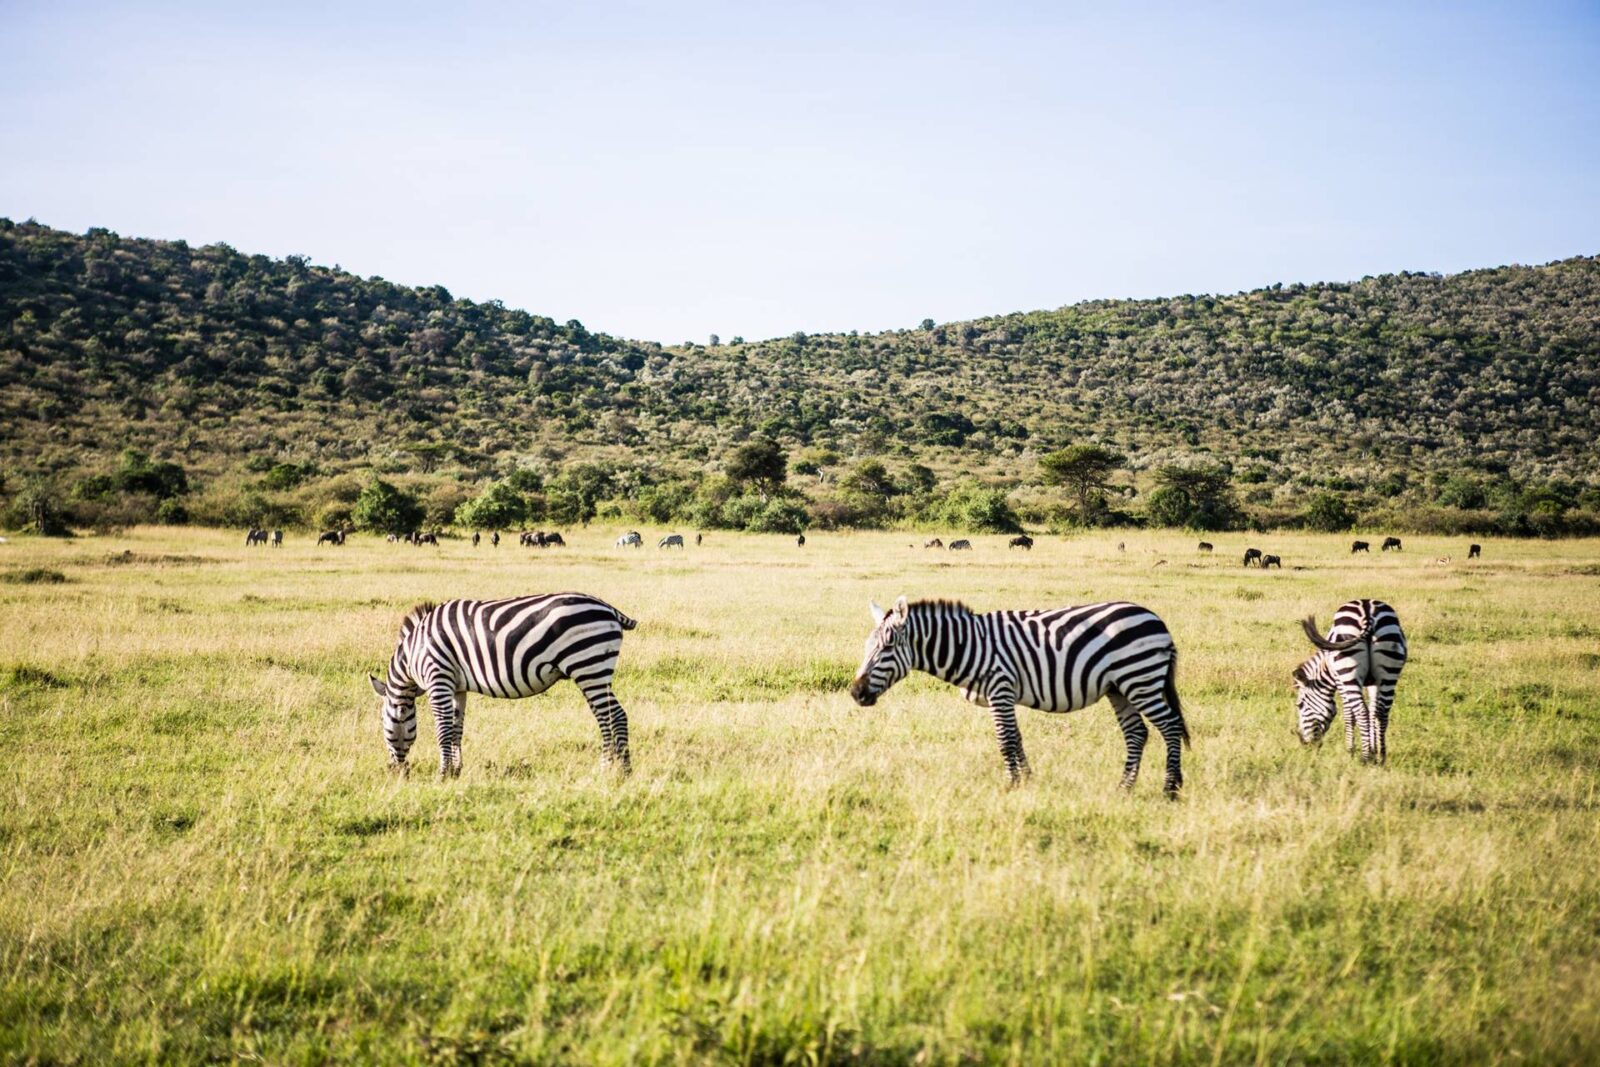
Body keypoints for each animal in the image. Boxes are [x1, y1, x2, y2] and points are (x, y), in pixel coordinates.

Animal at [369, 594, 637, 777]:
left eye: (384, 723)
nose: (396, 770)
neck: (413, 654)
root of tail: (610, 609)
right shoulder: (457, 687)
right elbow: (456, 729)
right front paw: (457, 770)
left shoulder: (438, 678)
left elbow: (443, 729)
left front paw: (443, 773)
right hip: (595, 669)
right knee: (614, 715)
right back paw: (621, 768)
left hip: (588, 666)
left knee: (611, 715)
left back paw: (611, 769)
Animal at [850, 598, 1189, 794]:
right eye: (867, 647)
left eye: (887, 648)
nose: (856, 693)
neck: (967, 646)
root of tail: (1157, 620)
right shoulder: (1004, 694)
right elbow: (1017, 737)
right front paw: (1026, 780)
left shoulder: (1000, 687)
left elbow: (1005, 739)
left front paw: (1010, 784)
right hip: (1120, 688)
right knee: (1137, 733)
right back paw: (1124, 788)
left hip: (1141, 679)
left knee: (1170, 727)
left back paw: (1170, 789)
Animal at [1294, 599, 1407, 763]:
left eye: (1300, 705)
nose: (1305, 744)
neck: (1326, 667)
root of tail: (1367, 612)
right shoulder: (1374, 683)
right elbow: (1373, 710)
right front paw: (1374, 750)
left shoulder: (1339, 680)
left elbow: (1349, 714)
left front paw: (1351, 750)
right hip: (1389, 670)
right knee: (1382, 713)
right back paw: (1382, 756)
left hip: (1348, 672)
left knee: (1361, 712)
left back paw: (1365, 758)